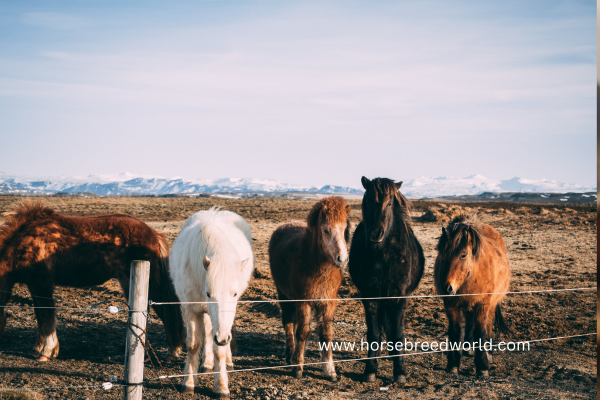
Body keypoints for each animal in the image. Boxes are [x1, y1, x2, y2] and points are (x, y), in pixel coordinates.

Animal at [0, 202, 184, 360]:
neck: (24, 241)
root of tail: (154, 234)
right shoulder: (33, 285)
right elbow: (39, 315)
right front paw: (37, 348)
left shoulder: (42, 283)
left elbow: (47, 315)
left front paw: (47, 351)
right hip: (129, 282)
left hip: (151, 284)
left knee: (165, 310)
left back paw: (172, 351)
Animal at [169, 208, 253, 398]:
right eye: (209, 293)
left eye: (234, 293)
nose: (222, 338)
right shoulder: (191, 310)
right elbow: (193, 345)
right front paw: (189, 383)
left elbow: (219, 350)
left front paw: (222, 387)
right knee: (207, 331)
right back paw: (206, 364)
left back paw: (227, 362)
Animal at [268, 197, 352, 382]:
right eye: (326, 230)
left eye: (344, 230)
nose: (342, 259)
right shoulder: (304, 301)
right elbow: (303, 332)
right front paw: (298, 367)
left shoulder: (328, 302)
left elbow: (326, 334)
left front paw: (330, 370)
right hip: (284, 295)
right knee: (288, 323)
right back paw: (290, 355)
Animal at [434, 214, 512, 376]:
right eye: (442, 254)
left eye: (463, 255)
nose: (447, 287)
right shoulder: (451, 306)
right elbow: (455, 332)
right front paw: (453, 365)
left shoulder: (482, 304)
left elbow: (481, 331)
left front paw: (482, 367)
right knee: (470, 323)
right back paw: (468, 349)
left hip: (490, 305)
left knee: (488, 325)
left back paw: (488, 353)